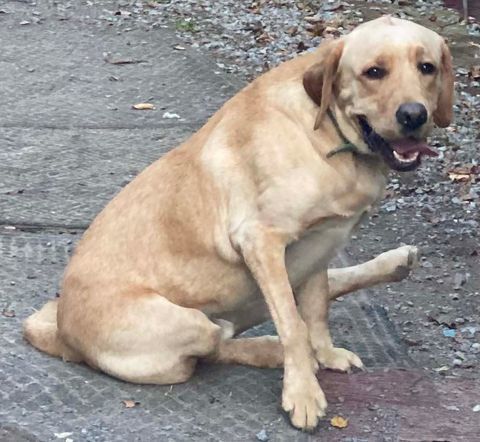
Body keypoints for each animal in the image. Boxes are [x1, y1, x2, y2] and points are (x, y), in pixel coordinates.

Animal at [23, 15, 454, 430]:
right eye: (373, 72)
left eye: (427, 67)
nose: (414, 115)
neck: (328, 135)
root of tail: (60, 328)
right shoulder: (260, 240)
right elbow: (294, 326)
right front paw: (303, 394)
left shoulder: (322, 244)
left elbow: (316, 311)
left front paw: (326, 353)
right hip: (187, 322)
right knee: (214, 347)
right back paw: (269, 349)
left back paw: (393, 264)